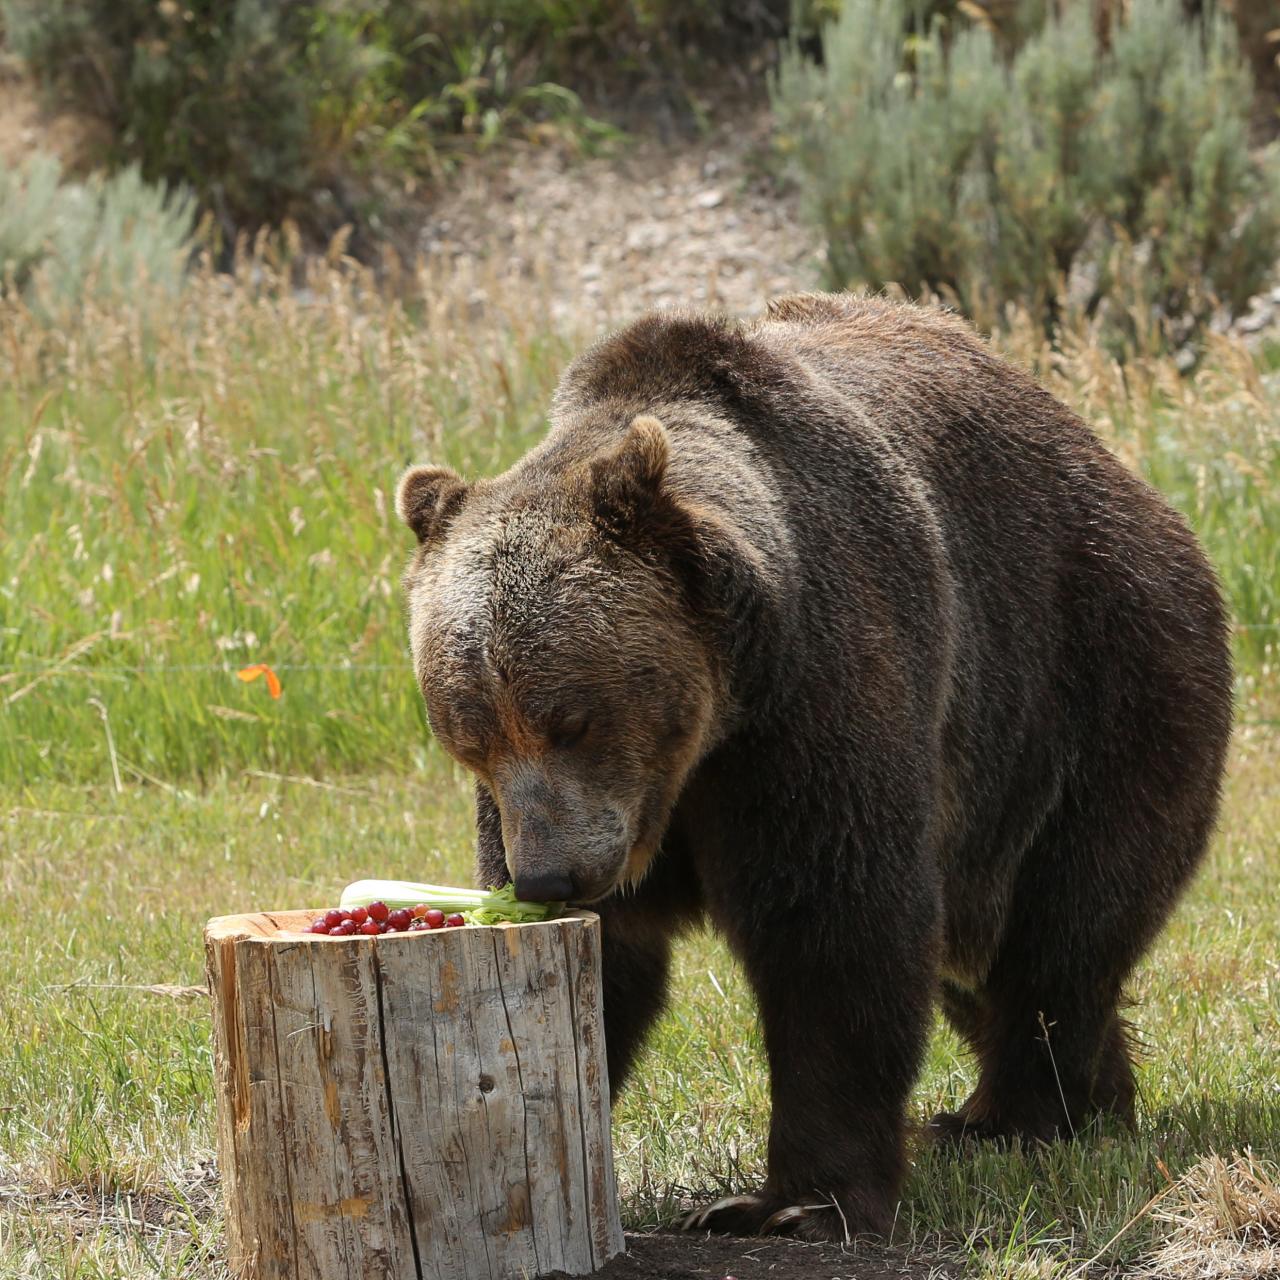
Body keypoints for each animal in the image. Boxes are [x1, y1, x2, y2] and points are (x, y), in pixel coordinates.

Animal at [394, 293, 1233, 1239]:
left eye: (569, 718)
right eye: (469, 736)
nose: (547, 877)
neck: (706, 732)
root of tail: (1141, 492)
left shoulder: (815, 700)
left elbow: (834, 926)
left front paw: (796, 1200)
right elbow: (615, 961)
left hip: (1100, 686)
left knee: (1064, 928)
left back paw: (1023, 1115)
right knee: (976, 963)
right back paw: (1086, 1100)